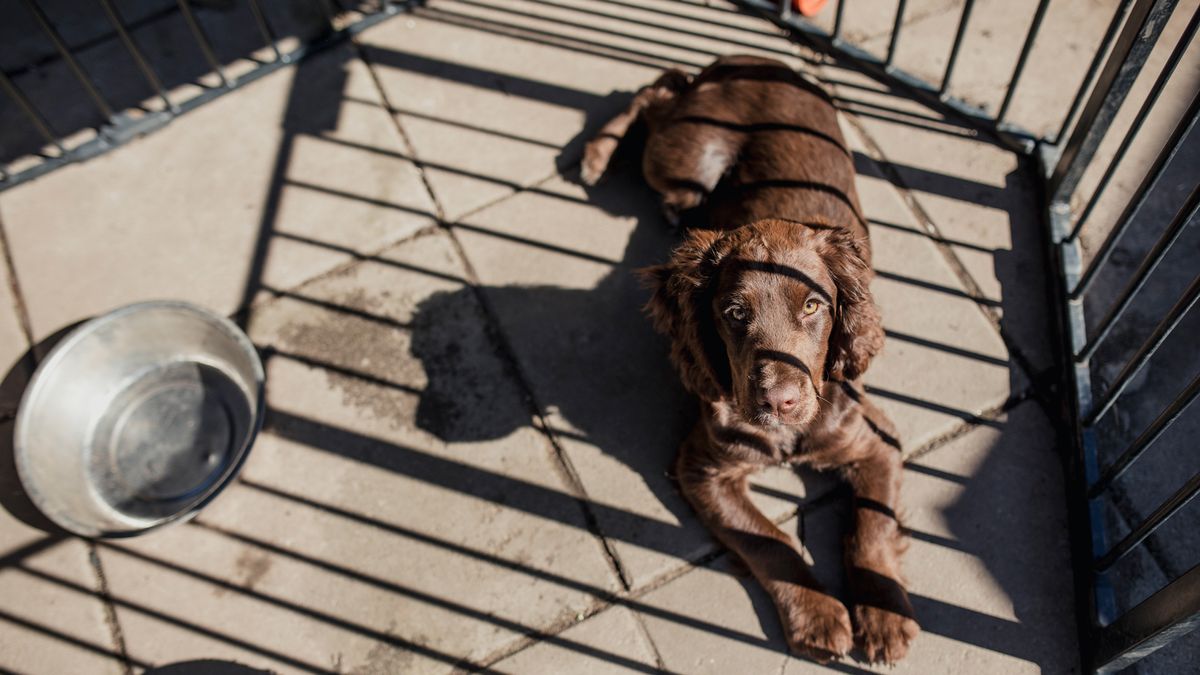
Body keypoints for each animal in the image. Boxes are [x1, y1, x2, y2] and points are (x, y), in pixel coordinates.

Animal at [580, 53, 916, 662]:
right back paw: (596, 154)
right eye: (735, 313)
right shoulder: (702, 467)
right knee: (658, 92)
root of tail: (751, 58)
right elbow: (769, 539)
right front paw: (818, 615)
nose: (779, 402)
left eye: (813, 305)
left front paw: (883, 615)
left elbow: (871, 526)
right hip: (687, 158)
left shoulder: (876, 441)